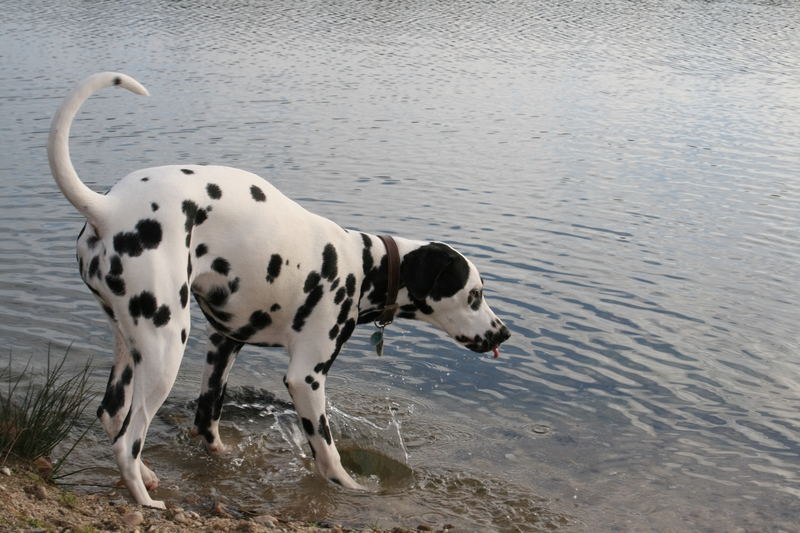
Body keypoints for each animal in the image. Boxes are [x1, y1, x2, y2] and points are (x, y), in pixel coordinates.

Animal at [48, 70, 512, 508]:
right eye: (475, 294)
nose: (503, 333)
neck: (363, 267)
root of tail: (108, 207)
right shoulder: (306, 377)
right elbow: (327, 451)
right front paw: (352, 488)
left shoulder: (225, 344)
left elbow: (207, 418)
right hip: (165, 346)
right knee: (127, 440)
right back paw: (145, 499)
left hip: (131, 345)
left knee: (112, 415)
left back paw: (145, 475)